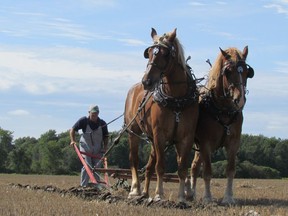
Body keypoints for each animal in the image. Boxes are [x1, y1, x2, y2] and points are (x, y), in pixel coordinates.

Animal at [124, 27, 198, 202]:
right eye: (150, 52)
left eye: (165, 53)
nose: (147, 81)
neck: (176, 99)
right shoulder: (159, 134)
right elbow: (161, 166)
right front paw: (159, 194)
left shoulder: (186, 137)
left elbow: (182, 168)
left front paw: (181, 197)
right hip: (133, 132)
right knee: (134, 160)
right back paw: (135, 190)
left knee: (149, 166)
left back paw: (145, 193)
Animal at [186, 45, 253, 204]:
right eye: (228, 72)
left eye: (247, 72)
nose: (240, 100)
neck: (223, 110)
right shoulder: (205, 143)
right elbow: (207, 171)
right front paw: (207, 198)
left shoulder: (234, 143)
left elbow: (230, 170)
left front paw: (228, 197)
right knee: (194, 167)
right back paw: (192, 194)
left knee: (195, 166)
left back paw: (193, 194)